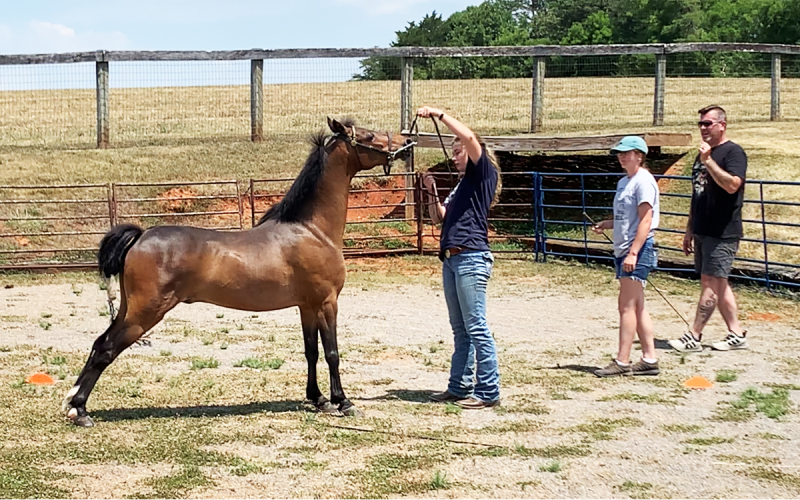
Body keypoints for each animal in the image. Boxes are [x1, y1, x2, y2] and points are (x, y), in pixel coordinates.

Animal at [63, 118, 414, 427]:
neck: (310, 229)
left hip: (129, 308)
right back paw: (79, 411)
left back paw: (75, 403)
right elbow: (332, 353)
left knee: (99, 343)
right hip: (144, 312)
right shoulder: (327, 302)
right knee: (106, 349)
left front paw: (318, 399)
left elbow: (311, 352)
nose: (405, 142)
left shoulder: (307, 306)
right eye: (368, 136)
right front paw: (343, 402)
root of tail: (140, 236)